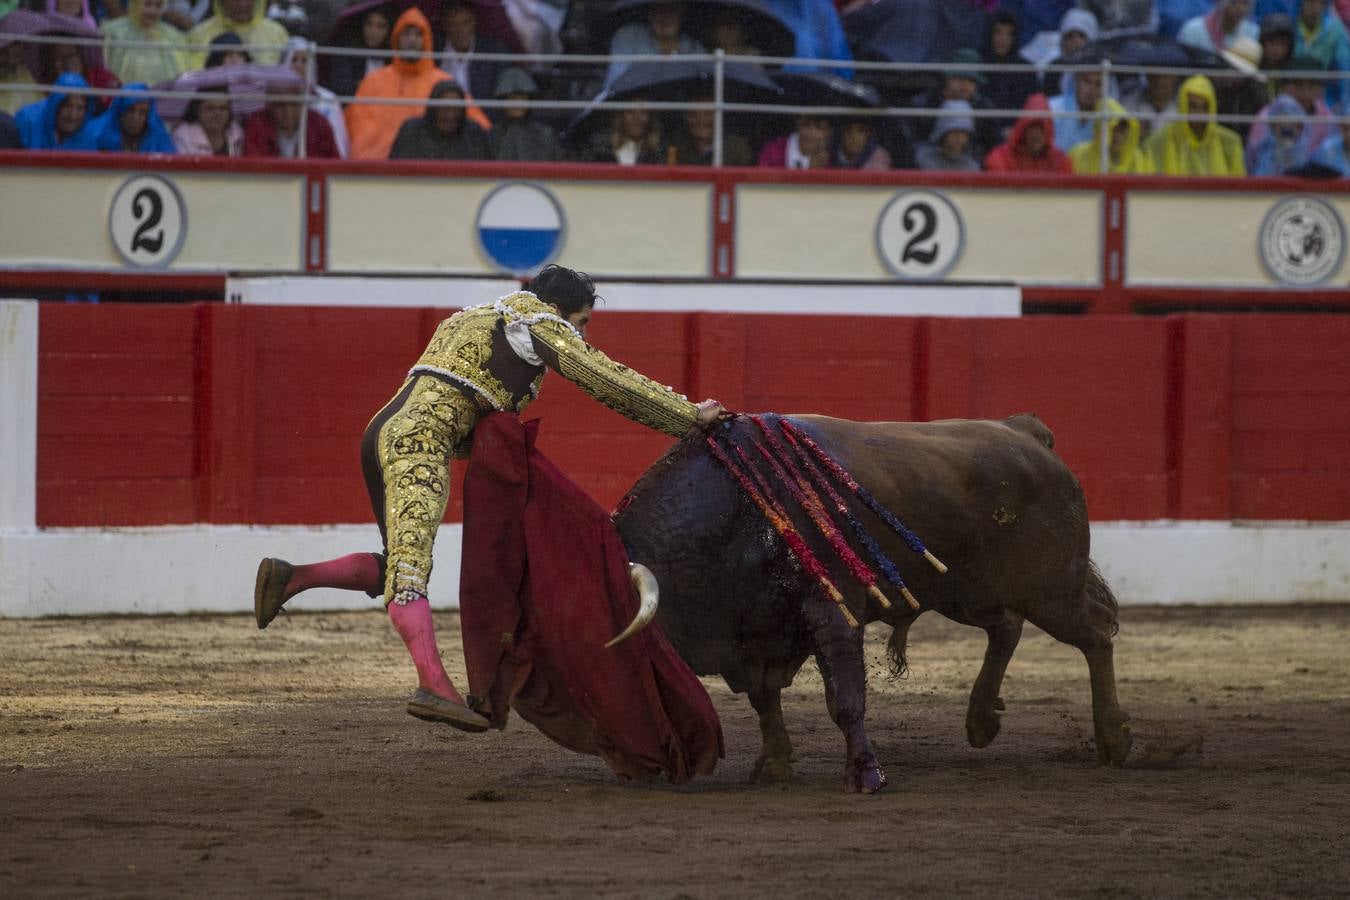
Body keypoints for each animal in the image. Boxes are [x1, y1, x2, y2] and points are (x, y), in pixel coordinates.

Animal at [612, 412, 1128, 793]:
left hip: (1052, 589)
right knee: (1007, 626)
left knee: (1095, 633)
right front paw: (774, 765)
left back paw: (1115, 741)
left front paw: (865, 773)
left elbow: (844, 698)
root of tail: (1026, 432)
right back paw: (981, 722)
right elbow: (764, 700)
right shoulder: (757, 634)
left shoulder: (833, 614)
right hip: (965, 592)